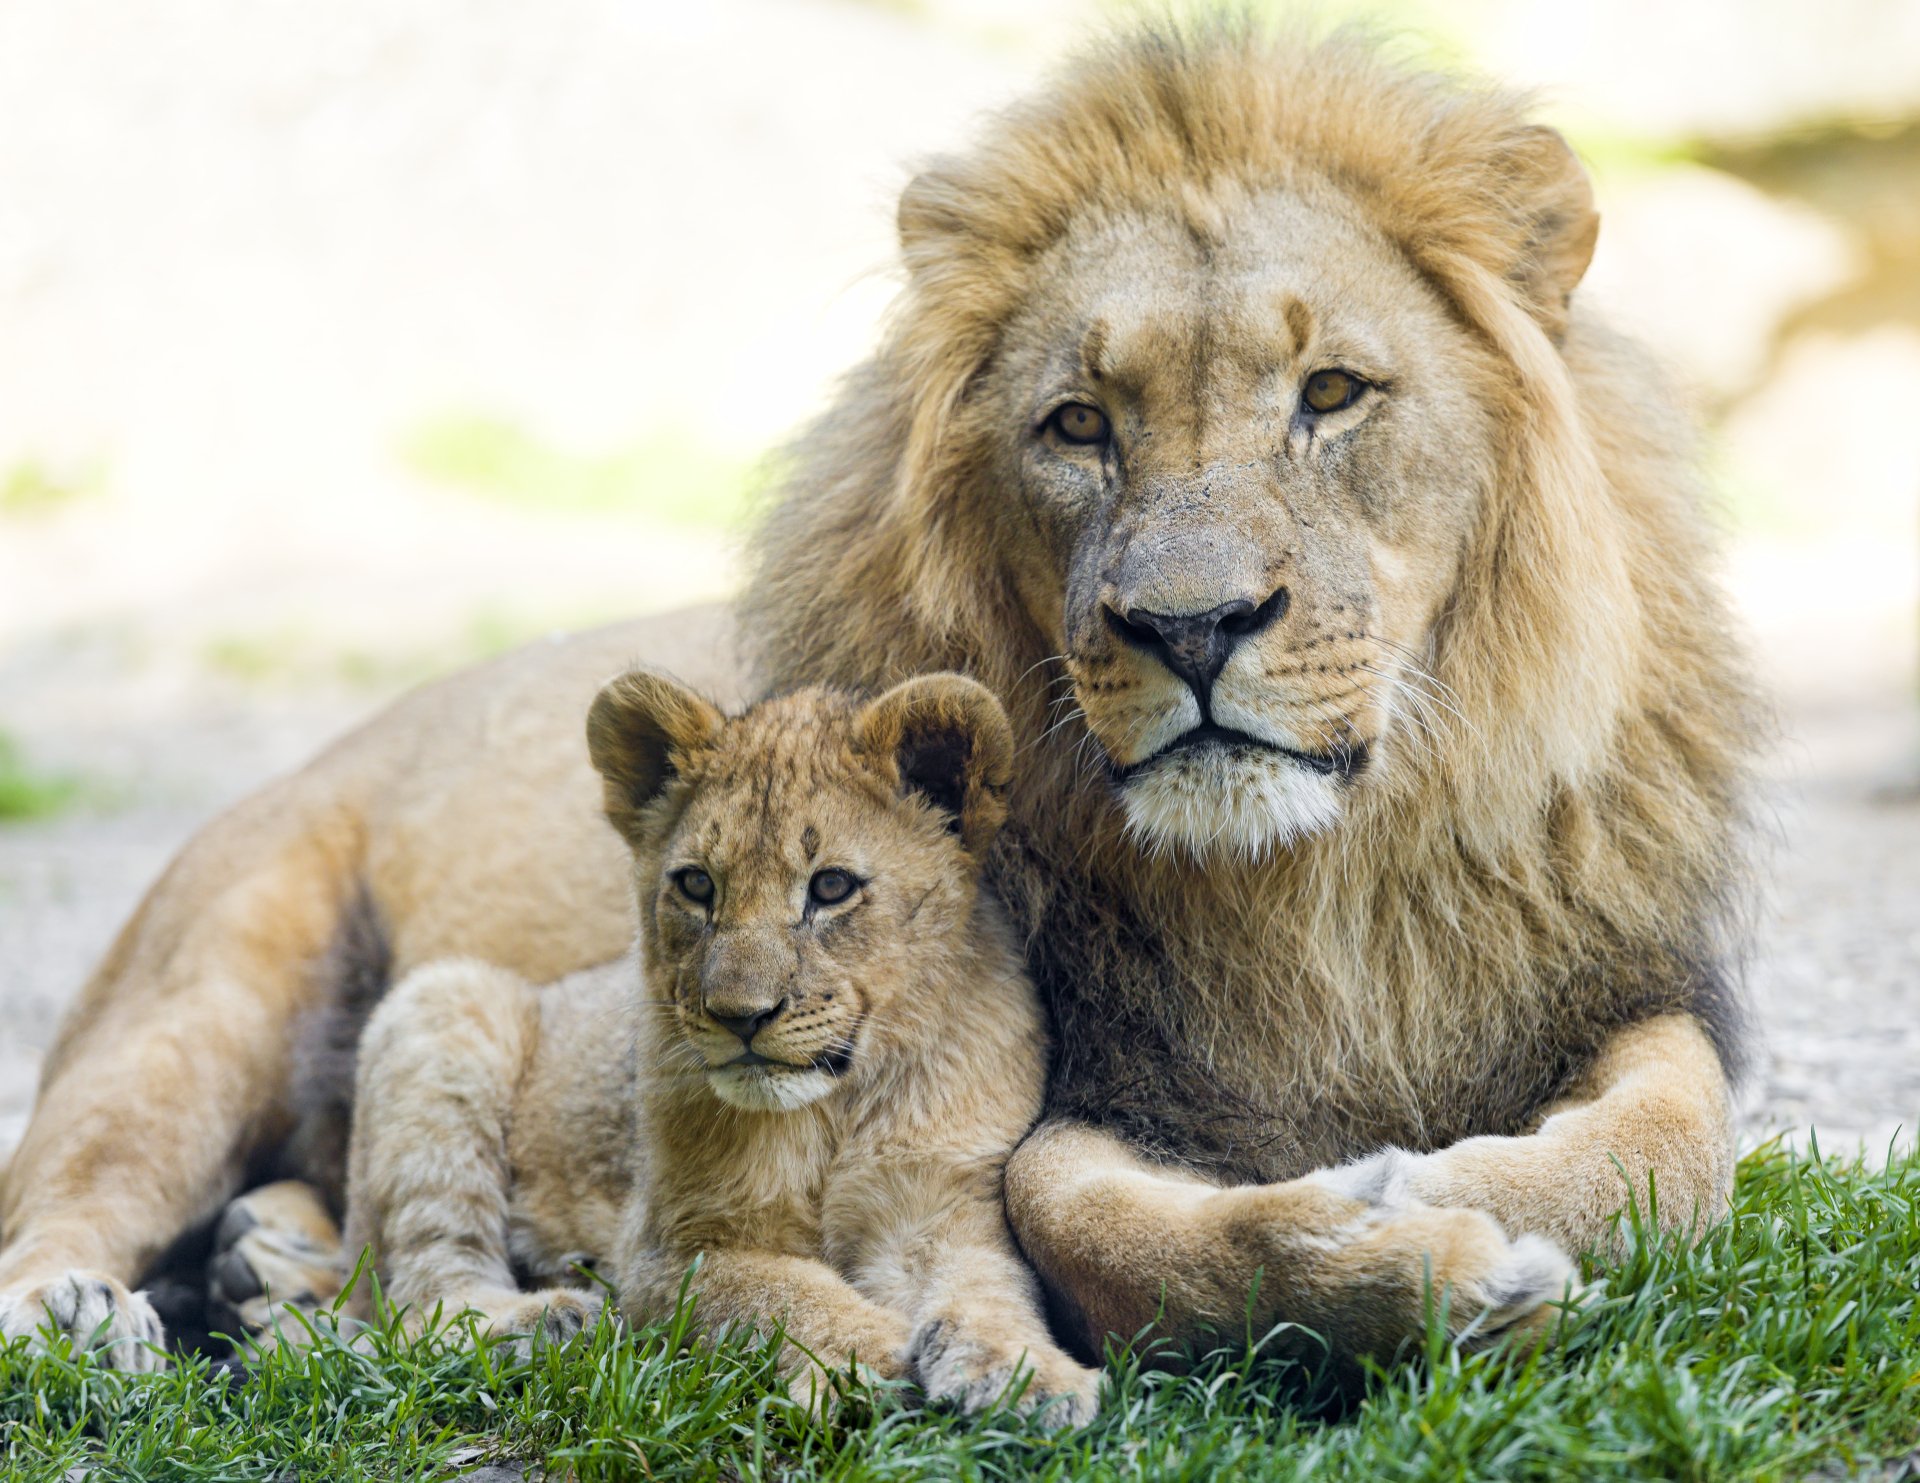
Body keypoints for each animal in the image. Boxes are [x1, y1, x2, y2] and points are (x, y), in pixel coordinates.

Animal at [0, 23, 1758, 1367]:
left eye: (1332, 392)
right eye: (1078, 423)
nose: (1192, 627)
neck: (1318, 888)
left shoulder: (1619, 985)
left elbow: (1675, 1148)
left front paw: (1445, 1189)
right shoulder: (1072, 1083)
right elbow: (1094, 1224)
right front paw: (1411, 1252)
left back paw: (274, 1261)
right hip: (200, 1001)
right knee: (63, 1192)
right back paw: (99, 1305)